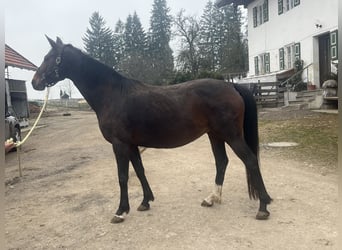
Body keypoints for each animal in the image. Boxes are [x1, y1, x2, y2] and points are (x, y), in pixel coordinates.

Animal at [32, 36, 272, 223]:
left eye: (49, 58)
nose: (35, 82)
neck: (113, 95)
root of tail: (232, 85)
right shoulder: (131, 145)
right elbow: (139, 171)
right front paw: (145, 201)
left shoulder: (120, 144)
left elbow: (122, 176)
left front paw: (121, 211)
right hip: (215, 135)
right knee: (222, 162)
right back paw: (211, 199)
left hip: (231, 135)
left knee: (250, 160)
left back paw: (263, 207)